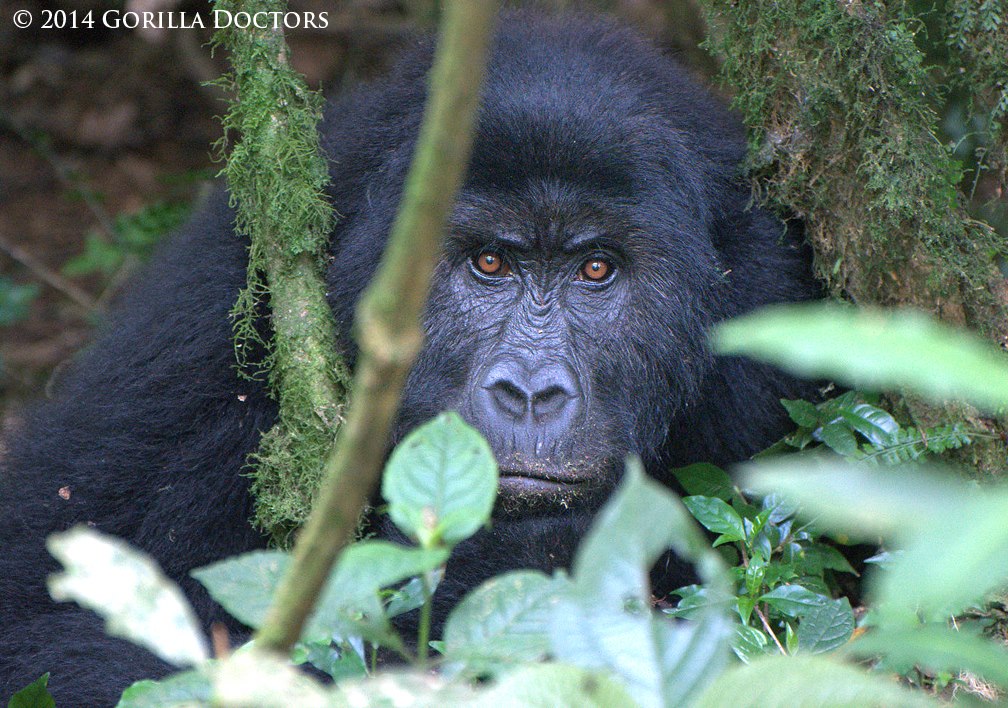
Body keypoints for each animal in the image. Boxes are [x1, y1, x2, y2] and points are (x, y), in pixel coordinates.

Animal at [0, 9, 818, 705]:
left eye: (596, 270)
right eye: (489, 263)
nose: (530, 392)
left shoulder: (768, 305)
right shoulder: (205, 320)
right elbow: (38, 620)